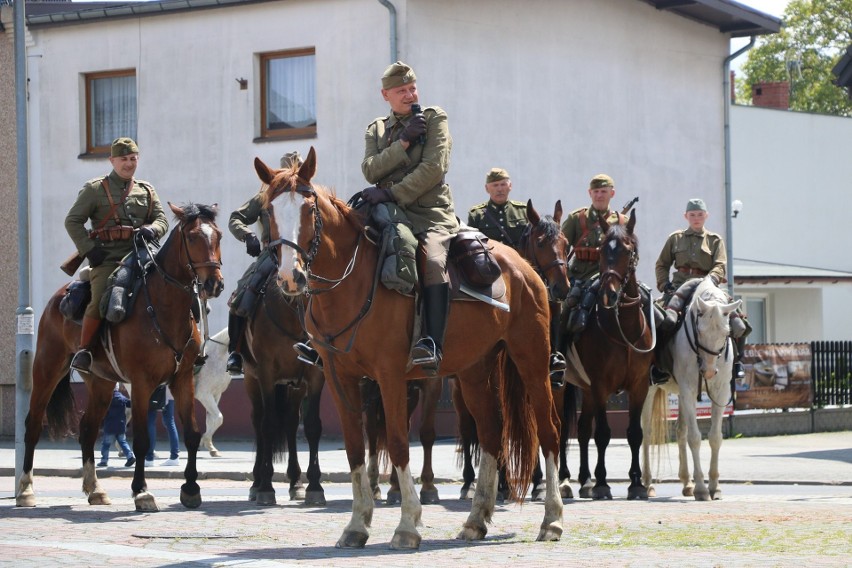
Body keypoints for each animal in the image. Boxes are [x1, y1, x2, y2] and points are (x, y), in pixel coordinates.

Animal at [17, 203, 223, 510]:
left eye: (218, 236)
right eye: (193, 237)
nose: (213, 284)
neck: (163, 307)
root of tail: (58, 296)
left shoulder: (182, 379)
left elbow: (191, 434)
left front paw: (190, 488)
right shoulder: (141, 383)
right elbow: (141, 440)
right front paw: (141, 491)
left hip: (100, 383)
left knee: (88, 429)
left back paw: (95, 489)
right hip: (47, 369)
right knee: (33, 424)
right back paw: (26, 489)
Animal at [243, 284, 330, 506]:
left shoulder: (315, 376)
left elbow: (312, 426)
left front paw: (314, 486)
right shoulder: (265, 374)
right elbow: (268, 425)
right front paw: (266, 487)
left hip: (295, 387)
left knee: (291, 423)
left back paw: (296, 483)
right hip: (251, 380)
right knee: (258, 422)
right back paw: (256, 483)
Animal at [564, 211, 660, 500]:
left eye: (628, 251)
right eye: (603, 250)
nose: (610, 294)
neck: (622, 327)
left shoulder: (639, 386)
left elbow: (635, 433)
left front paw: (637, 483)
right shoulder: (600, 385)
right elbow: (604, 434)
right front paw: (603, 483)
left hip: (585, 389)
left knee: (583, 429)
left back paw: (584, 480)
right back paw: (564, 482)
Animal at [640, 278, 740, 500]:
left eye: (727, 332)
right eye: (699, 330)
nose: (709, 371)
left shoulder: (720, 393)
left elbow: (715, 437)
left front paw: (715, 487)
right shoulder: (688, 390)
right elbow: (694, 438)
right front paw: (702, 489)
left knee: (680, 430)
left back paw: (686, 483)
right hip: (650, 390)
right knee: (647, 431)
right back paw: (648, 483)